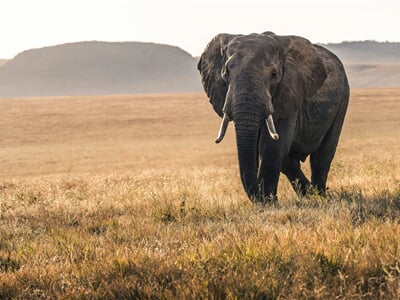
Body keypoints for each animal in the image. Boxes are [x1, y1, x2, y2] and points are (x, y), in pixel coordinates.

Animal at [198, 31, 348, 203]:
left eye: (273, 75)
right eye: (226, 73)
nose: (260, 197)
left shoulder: (289, 92)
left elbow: (272, 146)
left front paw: (269, 204)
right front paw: (267, 201)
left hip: (343, 98)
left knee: (322, 156)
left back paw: (320, 196)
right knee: (290, 161)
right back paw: (310, 194)